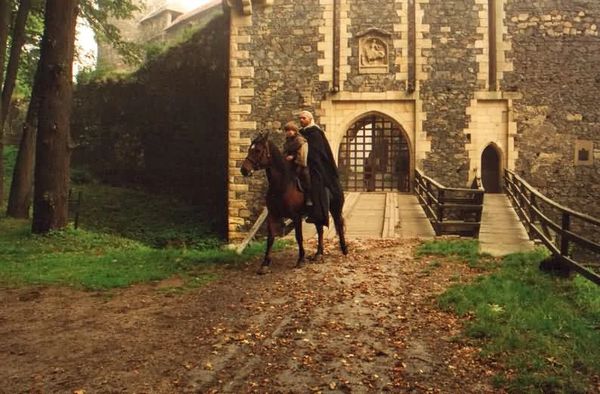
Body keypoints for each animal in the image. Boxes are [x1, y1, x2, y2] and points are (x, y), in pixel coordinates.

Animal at [241, 132, 350, 274]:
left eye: (258, 150)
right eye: (250, 149)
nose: (244, 170)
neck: (282, 185)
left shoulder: (296, 216)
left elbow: (299, 237)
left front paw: (301, 259)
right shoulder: (272, 215)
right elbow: (270, 238)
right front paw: (265, 263)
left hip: (335, 208)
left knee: (339, 224)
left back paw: (344, 249)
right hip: (317, 213)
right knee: (320, 229)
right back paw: (318, 253)